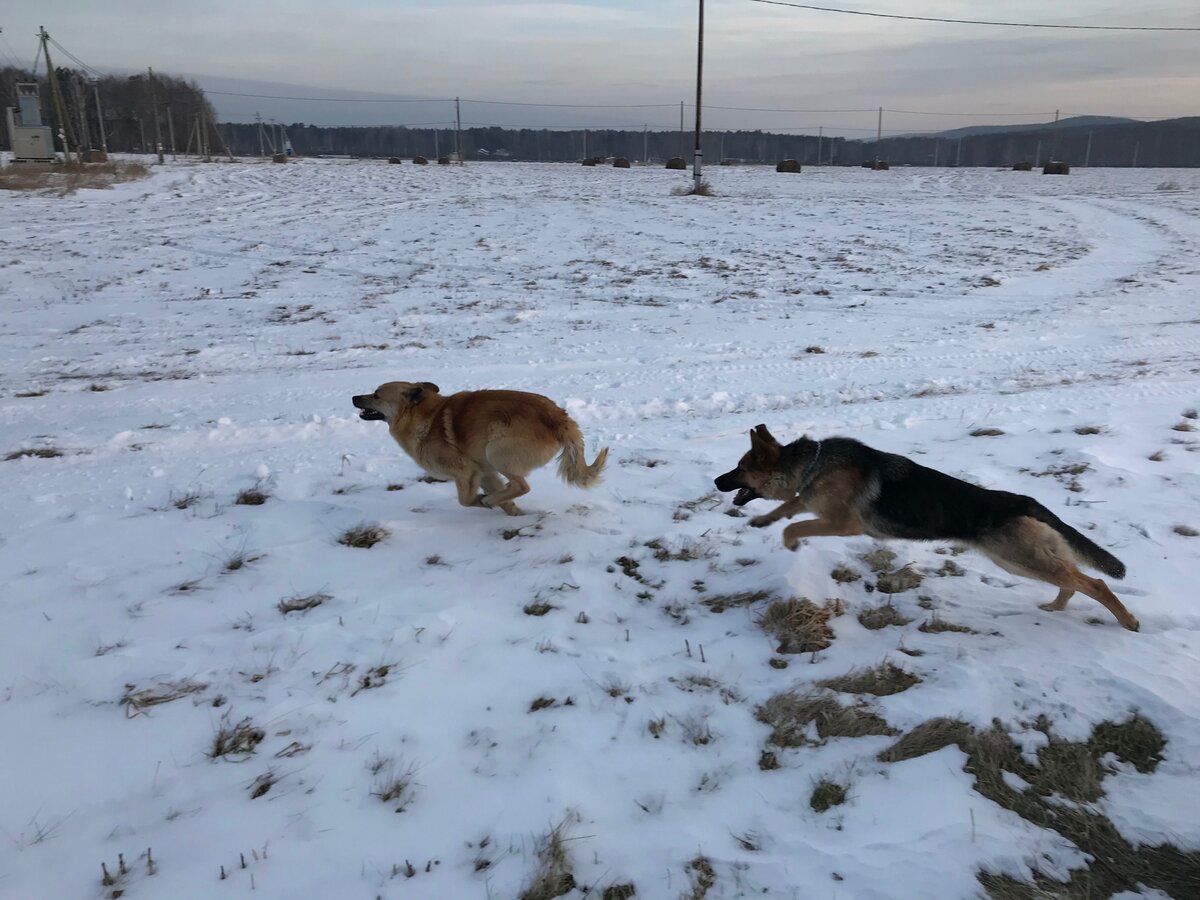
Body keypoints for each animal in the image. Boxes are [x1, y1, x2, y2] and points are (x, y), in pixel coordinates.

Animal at [350, 384, 604, 518]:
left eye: (376, 395)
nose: (354, 397)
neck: (424, 418)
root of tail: (560, 417)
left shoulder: (466, 470)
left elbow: (465, 500)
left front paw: (484, 501)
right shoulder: (483, 472)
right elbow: (502, 497)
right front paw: (515, 515)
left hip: (497, 449)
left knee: (523, 486)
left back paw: (491, 498)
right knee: (514, 485)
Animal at [715, 427, 1137, 628]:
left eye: (740, 468)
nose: (716, 482)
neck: (811, 463)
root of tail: (1024, 501)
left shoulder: (843, 523)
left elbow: (796, 525)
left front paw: (789, 543)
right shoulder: (813, 501)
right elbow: (791, 505)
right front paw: (765, 519)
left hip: (1019, 558)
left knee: (1095, 583)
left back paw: (1127, 621)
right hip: (1023, 559)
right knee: (1074, 578)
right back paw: (1056, 607)